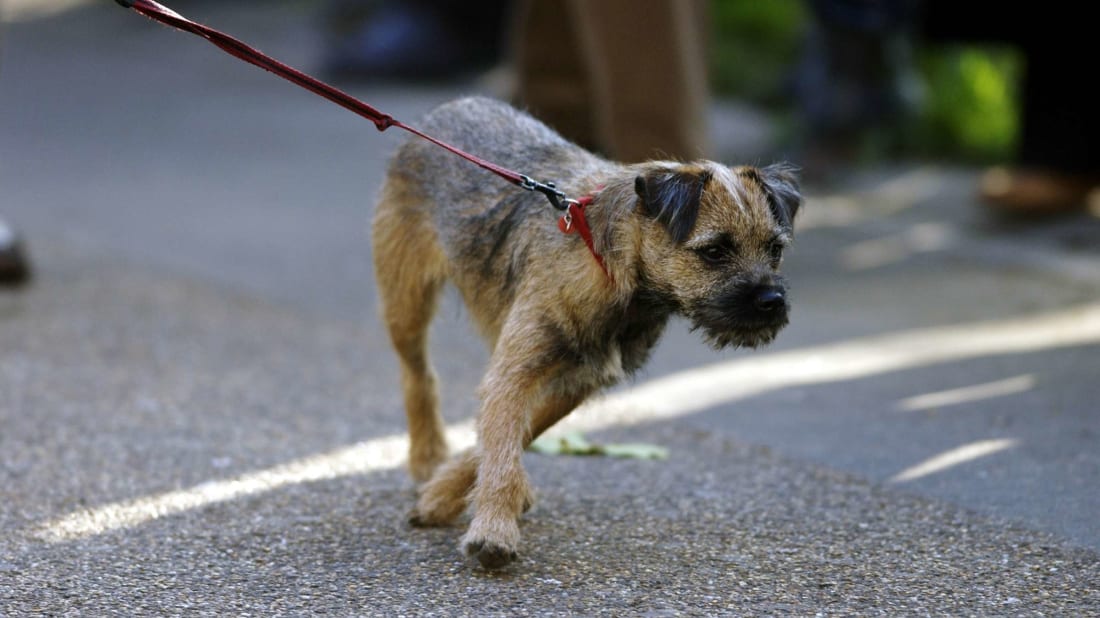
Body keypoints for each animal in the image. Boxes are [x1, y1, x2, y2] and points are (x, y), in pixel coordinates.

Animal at [369, 96, 800, 567]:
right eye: (715, 251)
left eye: (775, 249)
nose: (771, 301)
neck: (610, 268)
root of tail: (454, 104)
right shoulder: (517, 372)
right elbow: (500, 446)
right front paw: (492, 527)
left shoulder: (573, 380)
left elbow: (511, 437)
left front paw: (450, 496)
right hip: (406, 303)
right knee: (418, 375)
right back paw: (427, 457)